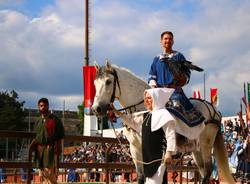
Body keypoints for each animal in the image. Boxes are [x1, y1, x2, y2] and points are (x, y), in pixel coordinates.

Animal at [91, 61, 234, 183]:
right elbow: (141, 177)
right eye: (95, 83)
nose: (96, 108)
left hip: (206, 145)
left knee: (208, 171)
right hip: (196, 149)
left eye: (108, 81)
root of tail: (214, 111)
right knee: (204, 172)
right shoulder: (134, 148)